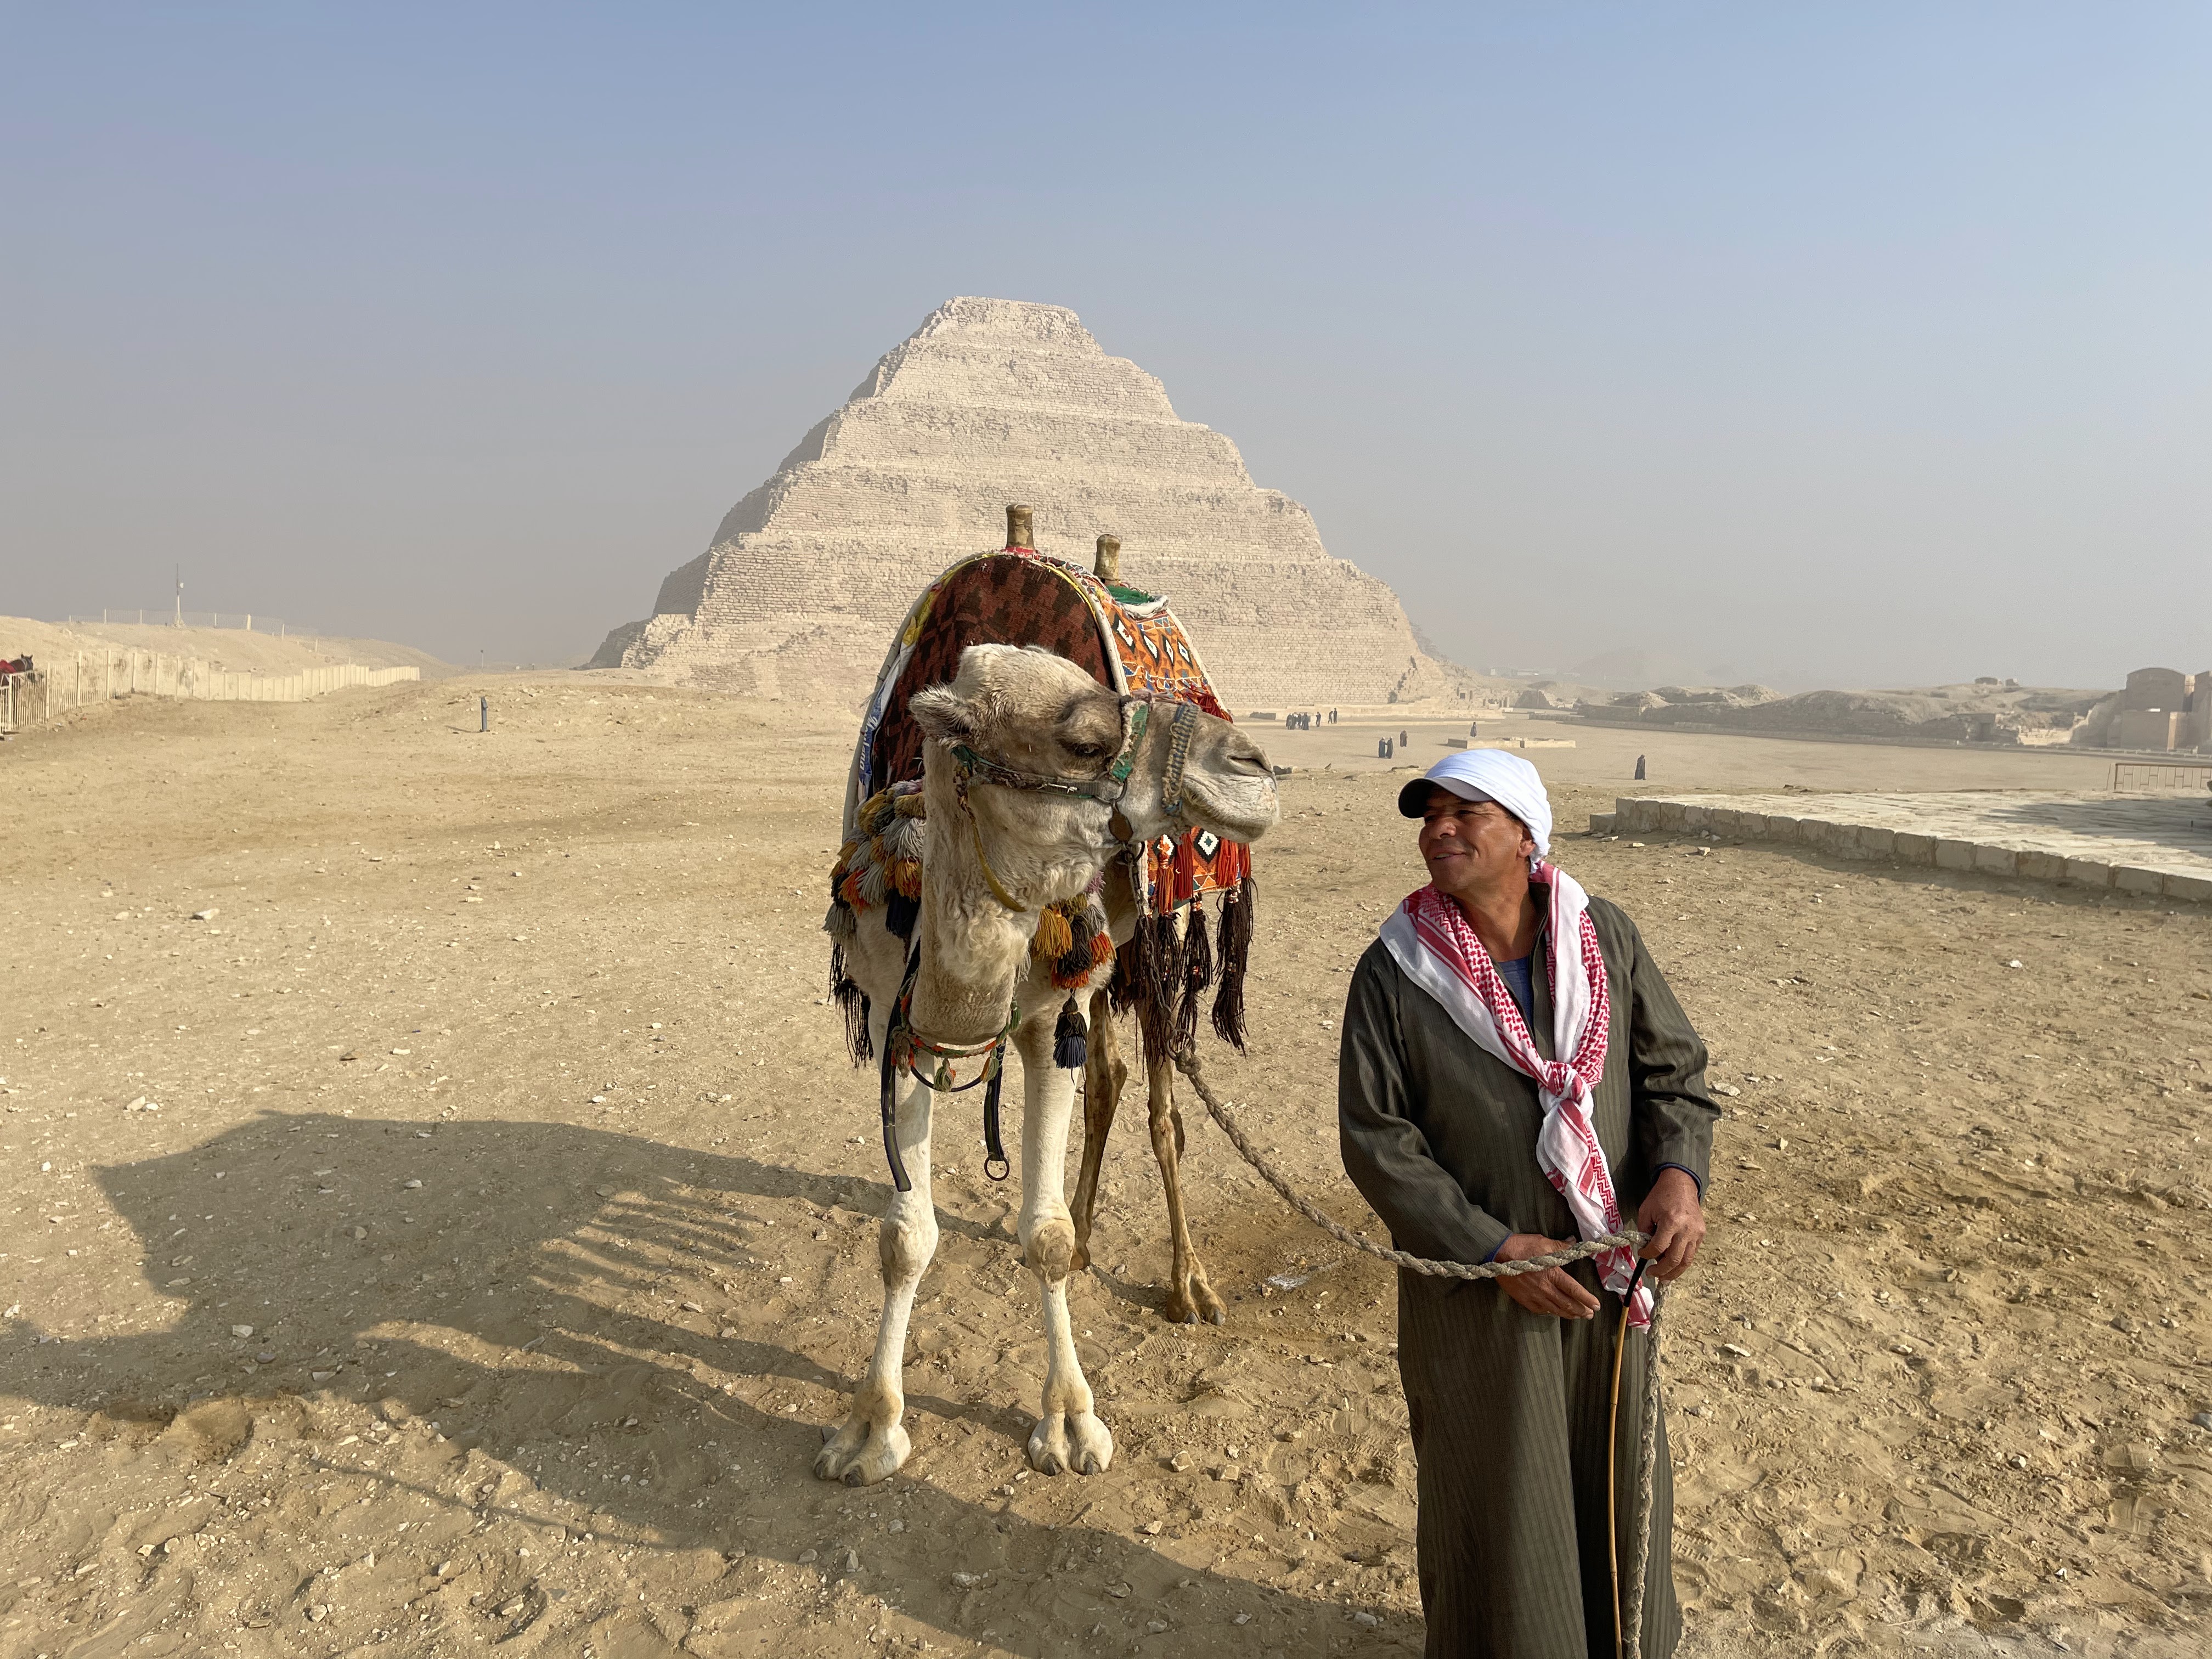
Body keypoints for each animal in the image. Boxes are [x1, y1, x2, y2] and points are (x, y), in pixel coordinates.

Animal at [815, 628, 1277, 1485]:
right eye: (1086, 742)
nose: (1253, 764)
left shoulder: (1039, 1025)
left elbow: (1045, 1237)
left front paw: (1070, 1424)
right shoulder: (899, 1018)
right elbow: (904, 1240)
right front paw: (869, 1430)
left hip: (1152, 950)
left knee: (1161, 1109)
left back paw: (1188, 1287)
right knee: (1110, 1077)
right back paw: (1098, 1236)